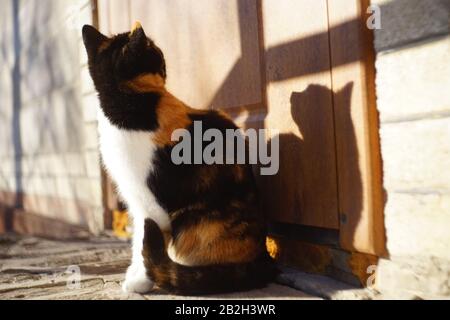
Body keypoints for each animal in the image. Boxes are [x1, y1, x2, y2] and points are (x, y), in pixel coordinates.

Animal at [82, 21, 276, 294]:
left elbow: (146, 242)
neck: (129, 106)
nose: (165, 62)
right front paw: (135, 274)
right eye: (157, 53)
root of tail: (263, 258)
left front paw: (141, 281)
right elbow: (137, 243)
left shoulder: (153, 206)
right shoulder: (136, 202)